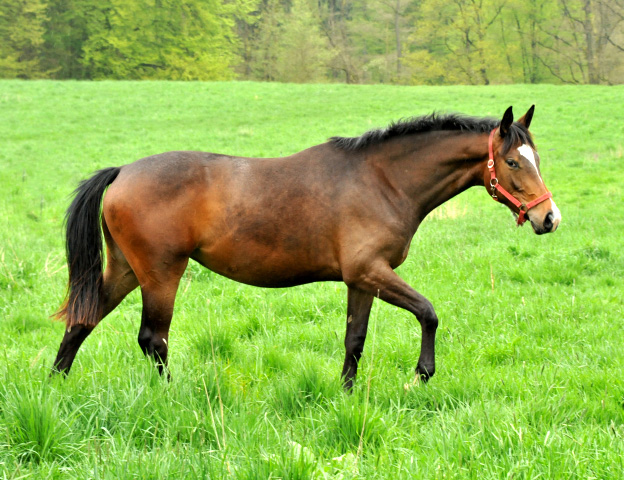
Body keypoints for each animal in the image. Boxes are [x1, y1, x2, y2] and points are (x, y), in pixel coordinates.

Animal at [52, 106, 560, 390]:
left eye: (536, 157)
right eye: (513, 161)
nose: (549, 218)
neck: (383, 180)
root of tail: (123, 171)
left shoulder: (361, 280)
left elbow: (355, 339)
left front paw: (346, 395)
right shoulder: (373, 271)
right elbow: (429, 313)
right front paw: (421, 374)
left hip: (125, 271)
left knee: (82, 321)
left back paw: (55, 386)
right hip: (161, 274)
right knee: (152, 340)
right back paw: (172, 395)